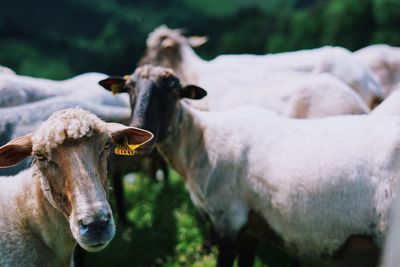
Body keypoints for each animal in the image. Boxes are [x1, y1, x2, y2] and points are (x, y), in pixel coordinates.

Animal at [99, 65, 400, 267]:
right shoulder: (250, 228)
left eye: (174, 91)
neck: (200, 142)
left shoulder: (227, 221)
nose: (143, 133)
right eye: (129, 88)